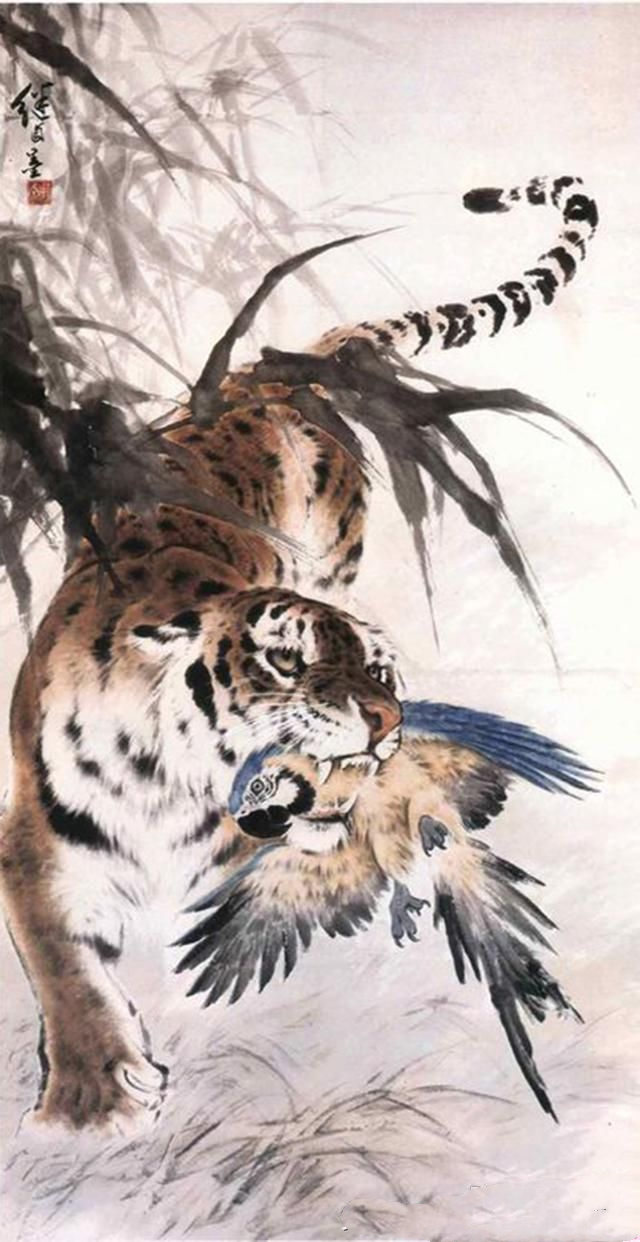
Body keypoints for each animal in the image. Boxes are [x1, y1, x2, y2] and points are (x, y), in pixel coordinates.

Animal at [0, 173, 598, 1132]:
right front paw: (91, 1100)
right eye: (287, 659)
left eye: (382, 671)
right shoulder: (36, 837)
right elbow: (63, 963)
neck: (167, 781)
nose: (388, 723)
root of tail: (263, 374)